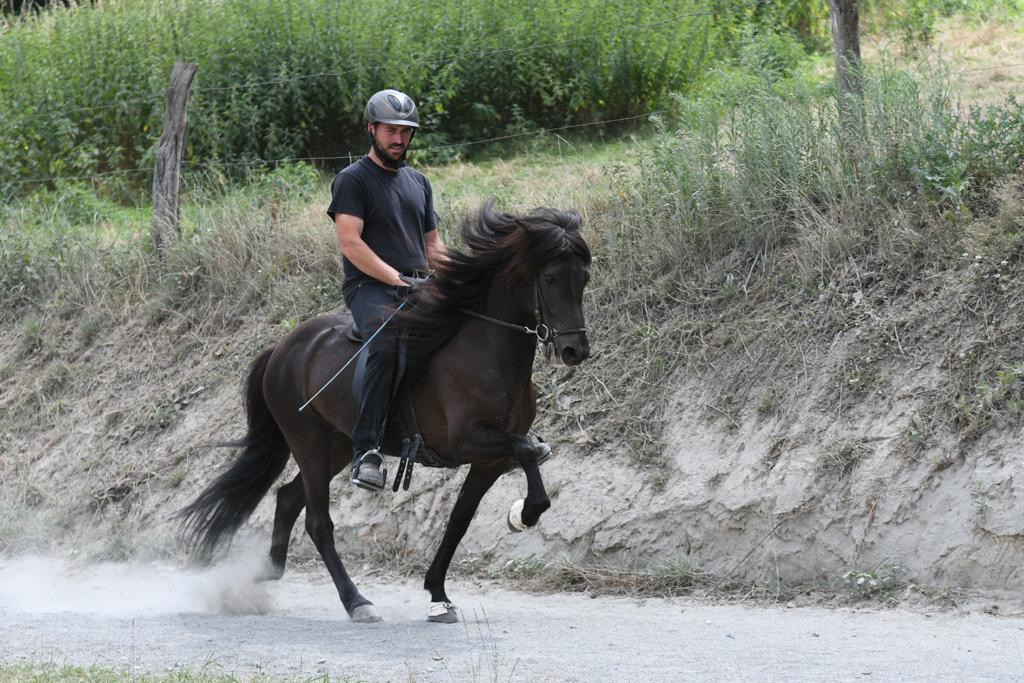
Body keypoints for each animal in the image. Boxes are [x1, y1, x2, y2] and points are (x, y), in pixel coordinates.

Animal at [180, 200, 589, 622]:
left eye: (584, 279)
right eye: (552, 278)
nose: (575, 350)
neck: (486, 352)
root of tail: (282, 348)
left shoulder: (488, 460)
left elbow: (459, 520)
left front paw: (438, 593)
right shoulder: (469, 442)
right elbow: (526, 453)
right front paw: (524, 514)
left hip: (341, 444)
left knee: (289, 498)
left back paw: (265, 572)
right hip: (307, 442)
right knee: (318, 522)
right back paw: (355, 600)